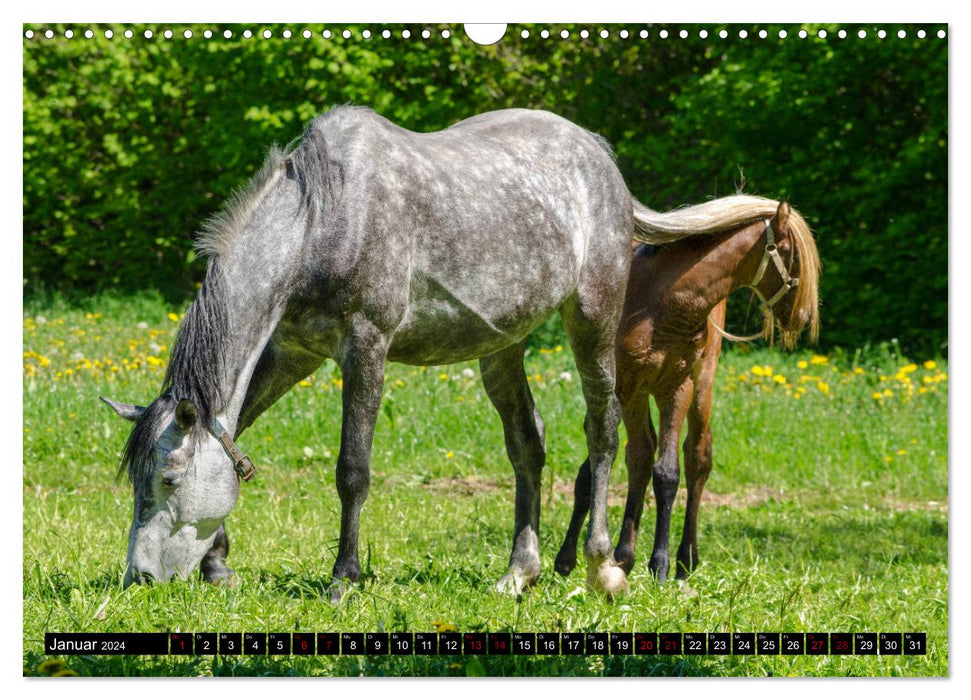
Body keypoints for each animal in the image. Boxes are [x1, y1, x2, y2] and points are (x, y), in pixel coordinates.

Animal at [102, 106, 640, 600]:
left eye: (170, 480)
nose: (139, 579)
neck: (321, 222)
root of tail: (596, 150)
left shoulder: (366, 349)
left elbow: (352, 471)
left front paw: (344, 578)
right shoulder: (293, 354)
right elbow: (235, 435)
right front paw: (217, 564)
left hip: (593, 318)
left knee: (603, 428)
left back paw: (602, 568)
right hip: (502, 347)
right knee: (528, 443)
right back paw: (519, 573)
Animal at [556, 196, 820, 580]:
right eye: (794, 256)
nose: (803, 318)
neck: (659, 300)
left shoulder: (676, 387)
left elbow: (668, 473)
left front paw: (660, 563)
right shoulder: (623, 385)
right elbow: (594, 468)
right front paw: (565, 558)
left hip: (700, 387)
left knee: (697, 457)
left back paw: (684, 558)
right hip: (636, 393)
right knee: (640, 453)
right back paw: (624, 555)